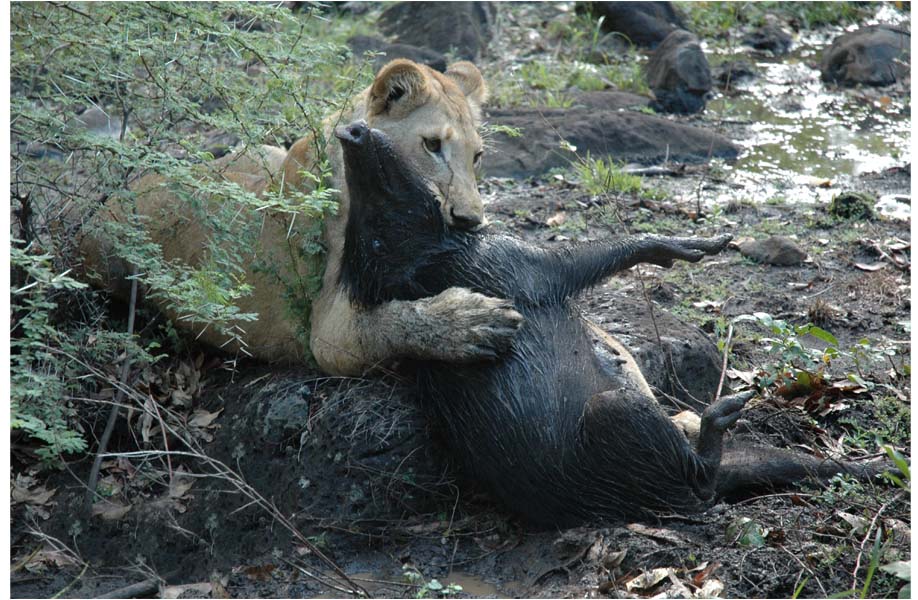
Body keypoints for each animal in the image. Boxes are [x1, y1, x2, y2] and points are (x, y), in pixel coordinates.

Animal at [79, 59, 522, 375]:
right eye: (432, 145)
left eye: (477, 156)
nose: (470, 220)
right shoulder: (327, 335)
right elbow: (391, 324)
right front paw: (469, 321)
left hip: (260, 151)